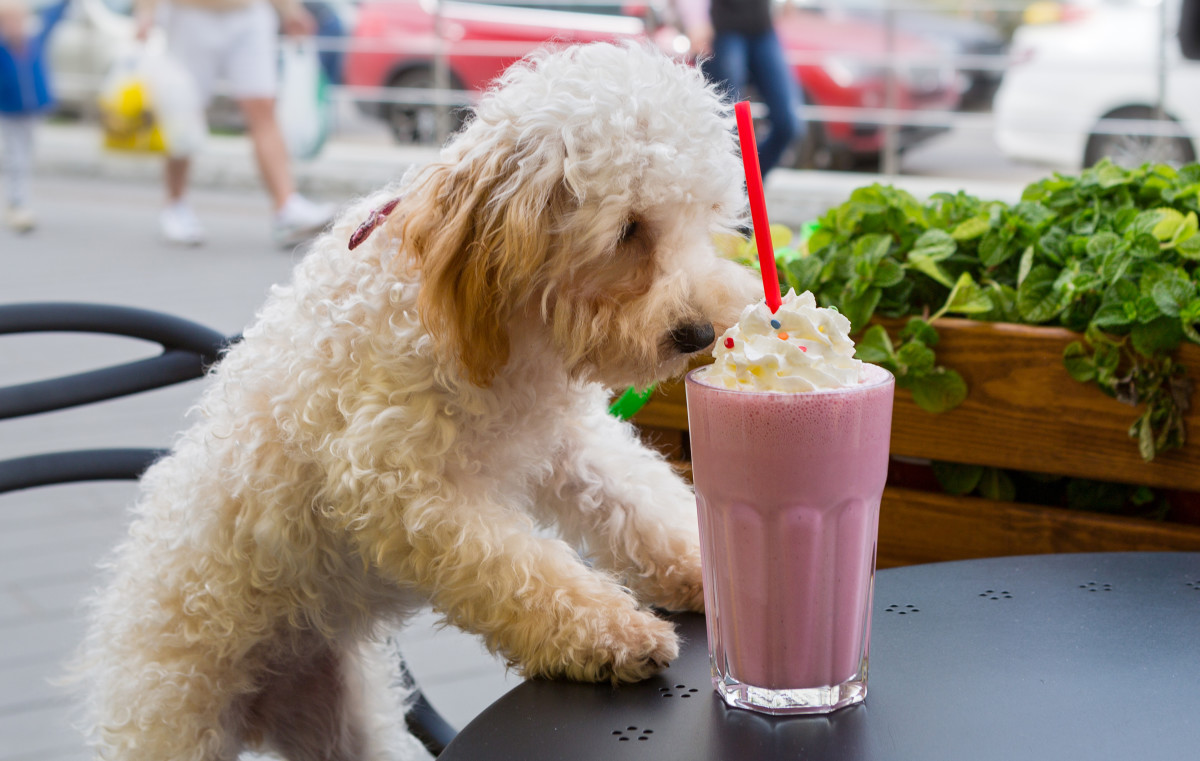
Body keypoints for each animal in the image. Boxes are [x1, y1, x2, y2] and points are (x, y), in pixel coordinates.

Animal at [75, 42, 753, 758]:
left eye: (708, 218)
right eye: (628, 231)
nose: (700, 334)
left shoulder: (567, 442)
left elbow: (637, 501)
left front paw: (703, 570)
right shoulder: (397, 487)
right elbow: (519, 568)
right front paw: (612, 634)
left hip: (350, 721)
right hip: (177, 719)